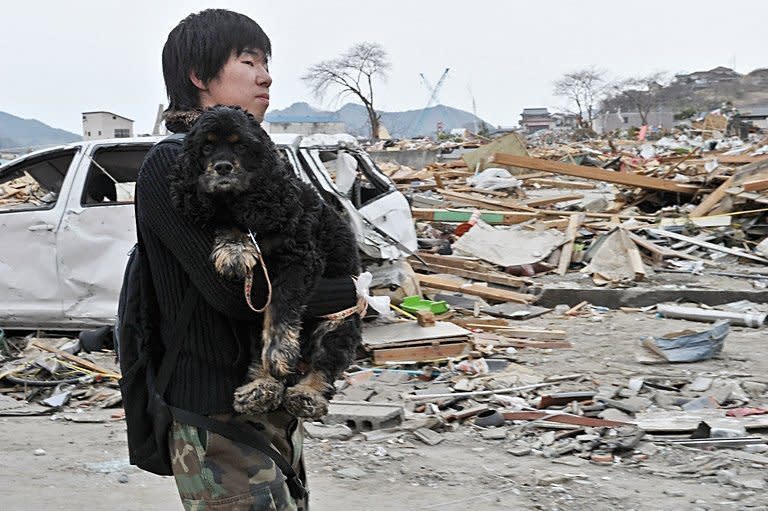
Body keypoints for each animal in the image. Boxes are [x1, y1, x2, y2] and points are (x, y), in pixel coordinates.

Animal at [170, 106, 362, 418]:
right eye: (206, 146)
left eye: (241, 146)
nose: (223, 167)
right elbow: (228, 222)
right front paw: (235, 251)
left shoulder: (299, 258)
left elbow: (280, 308)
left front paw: (279, 354)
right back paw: (260, 389)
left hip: (339, 324)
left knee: (325, 363)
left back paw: (306, 394)